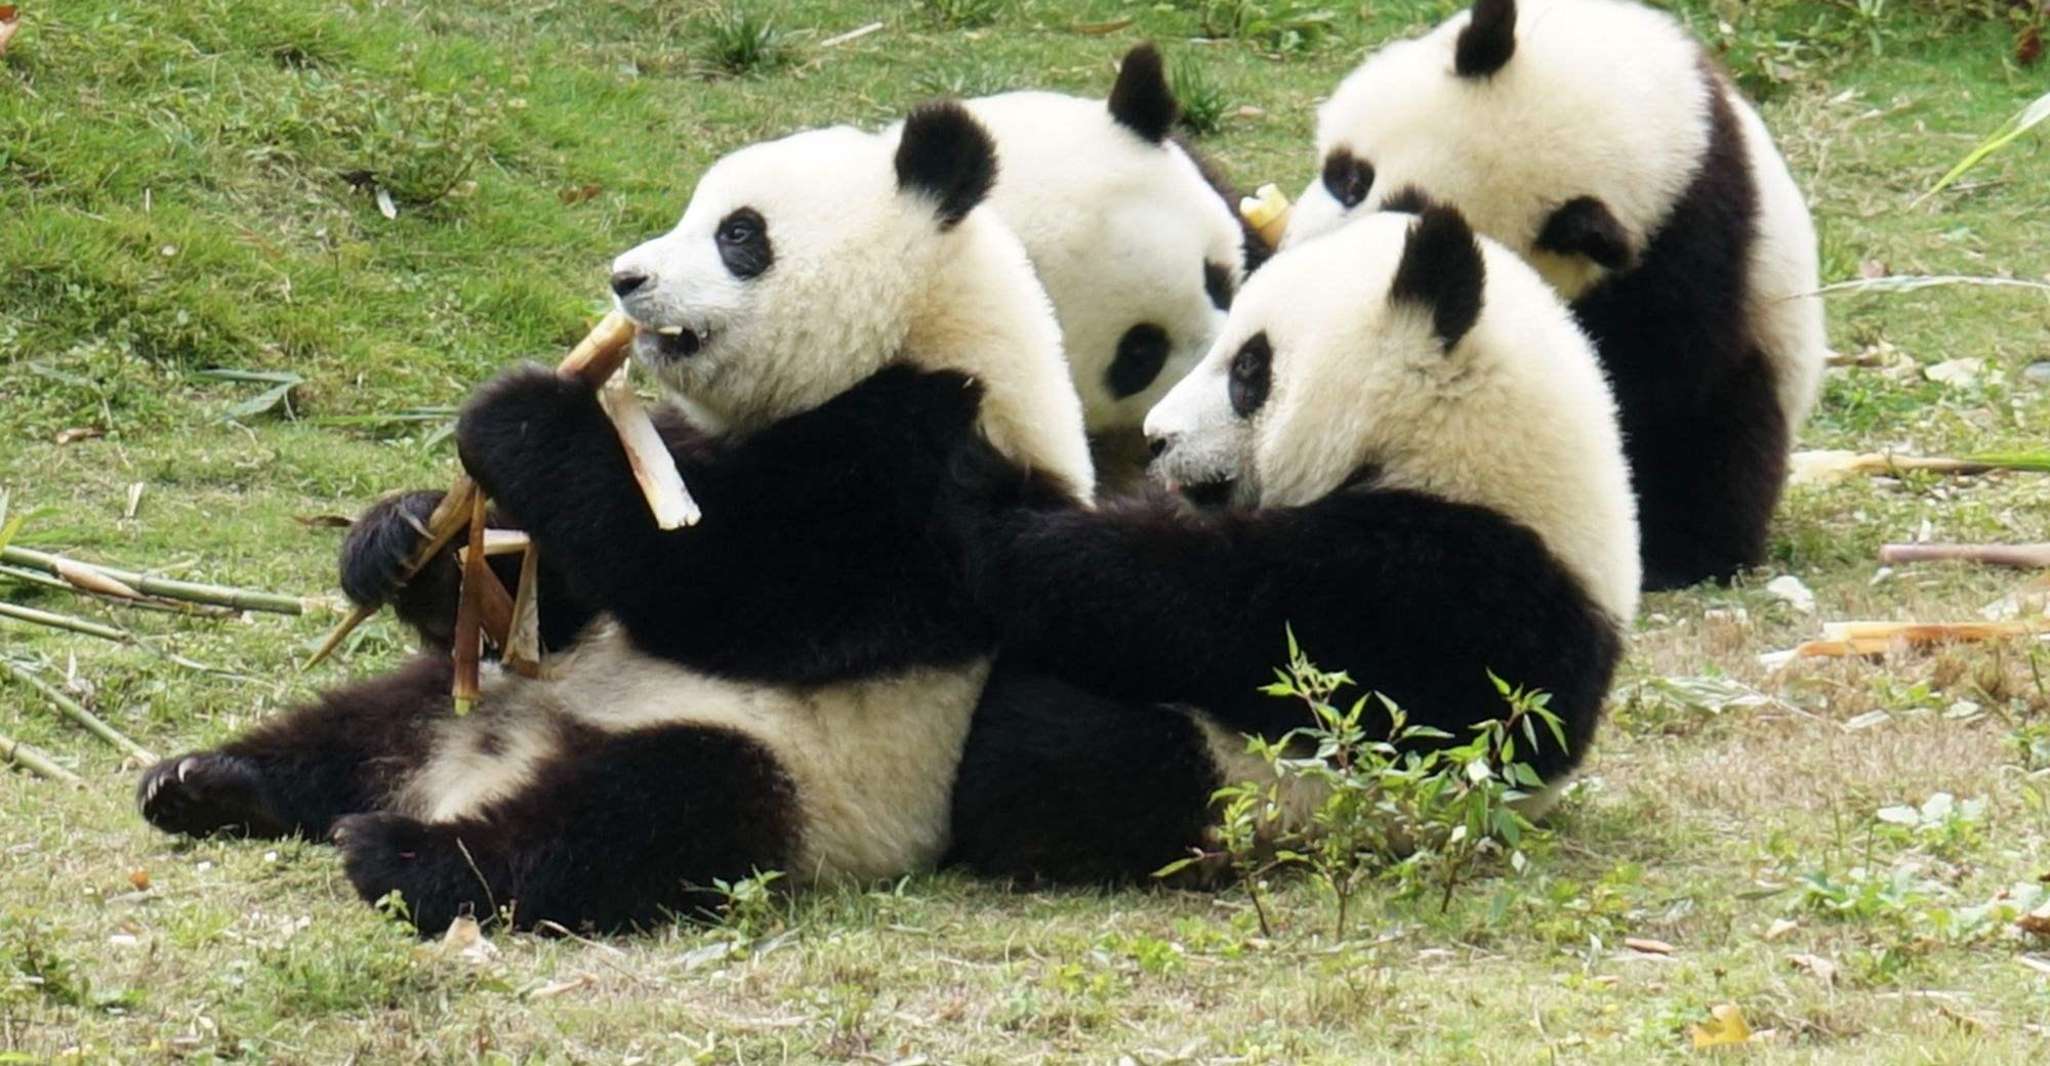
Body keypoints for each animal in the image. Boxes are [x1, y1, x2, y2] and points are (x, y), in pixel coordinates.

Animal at [136, 103, 1095, 933]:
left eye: (739, 234)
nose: (625, 279)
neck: (928, 330)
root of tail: (481, 764)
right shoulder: (687, 444)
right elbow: (548, 603)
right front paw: (401, 536)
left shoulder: (932, 478)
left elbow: (734, 588)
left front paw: (519, 413)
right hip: (469, 697)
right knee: (362, 722)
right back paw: (207, 783)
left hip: (802, 772)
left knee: (635, 817)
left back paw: (405, 855)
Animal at [944, 207, 1639, 883]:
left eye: (1250, 367)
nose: (1156, 438)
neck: (1450, 445)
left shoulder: (1450, 590)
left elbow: (1203, 610)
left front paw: (983, 493)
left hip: (1260, 787)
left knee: (1064, 757)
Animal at [1281, 0, 1826, 591]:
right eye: (1350, 178)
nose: (1302, 259)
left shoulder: (1682, 258)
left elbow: (1652, 378)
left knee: (1718, 447)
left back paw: (1681, 556)